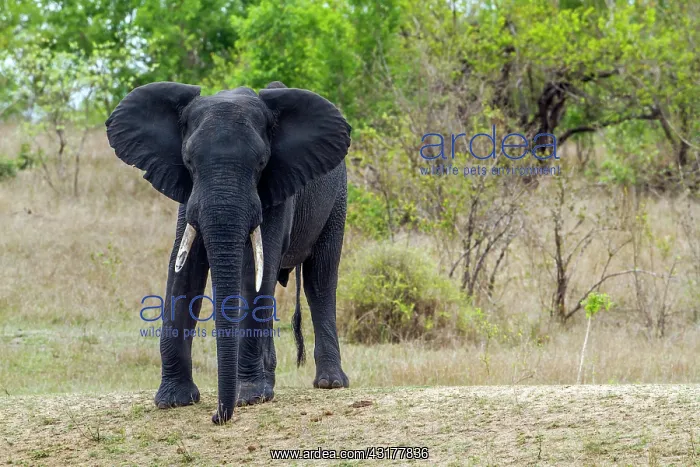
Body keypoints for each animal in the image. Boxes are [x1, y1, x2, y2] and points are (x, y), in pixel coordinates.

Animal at [105, 80, 351, 424]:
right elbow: (184, 271)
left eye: (261, 164)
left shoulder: (276, 189)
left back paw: (330, 383)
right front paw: (173, 401)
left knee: (320, 278)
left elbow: (255, 272)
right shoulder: (188, 194)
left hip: (338, 198)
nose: (217, 416)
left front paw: (248, 397)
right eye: (189, 162)